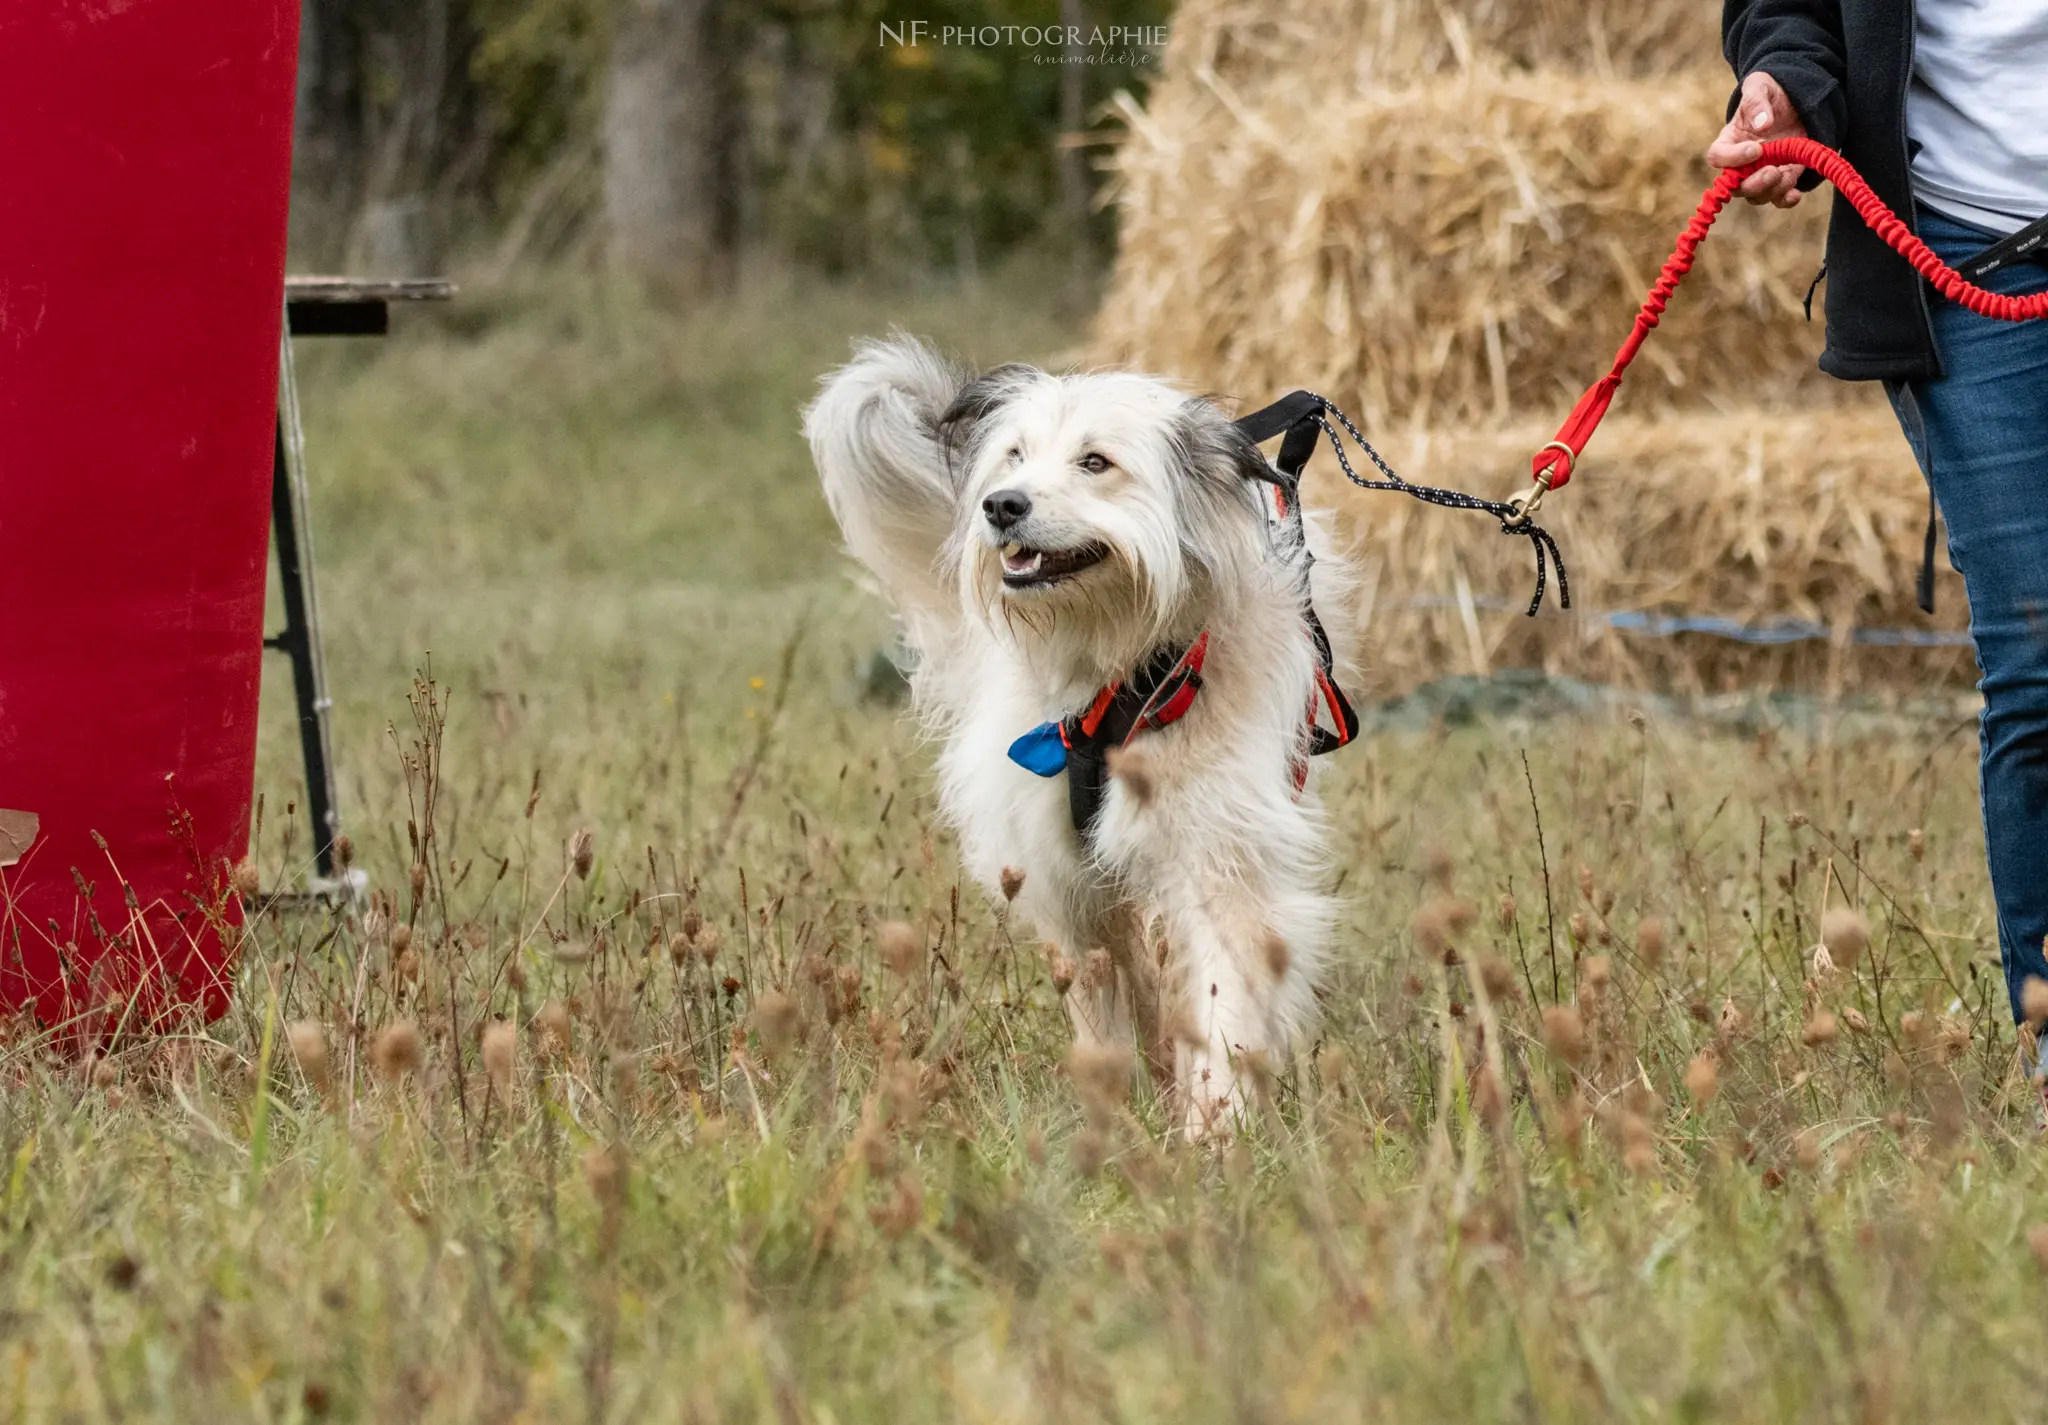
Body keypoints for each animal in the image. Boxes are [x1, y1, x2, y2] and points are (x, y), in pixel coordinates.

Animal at [798, 335, 1359, 1138]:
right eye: (1013, 456)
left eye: (1095, 462)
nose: (1002, 504)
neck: (1112, 680)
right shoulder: (1068, 882)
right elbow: (1100, 1009)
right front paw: (1116, 1124)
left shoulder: (1219, 853)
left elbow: (1223, 999)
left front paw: (1215, 1131)